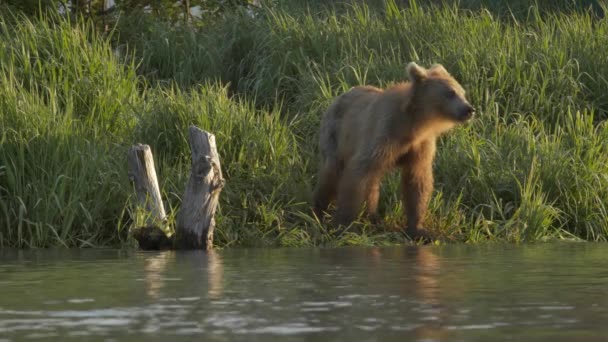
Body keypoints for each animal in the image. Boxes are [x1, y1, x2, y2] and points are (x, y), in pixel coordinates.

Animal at [314, 61, 476, 239]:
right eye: (450, 93)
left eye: (463, 92)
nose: (469, 109)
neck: (414, 124)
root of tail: (338, 97)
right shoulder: (383, 134)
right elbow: (357, 175)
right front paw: (344, 225)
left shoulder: (420, 146)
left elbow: (417, 182)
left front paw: (419, 229)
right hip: (335, 135)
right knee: (332, 172)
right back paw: (319, 210)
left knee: (372, 183)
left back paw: (372, 217)